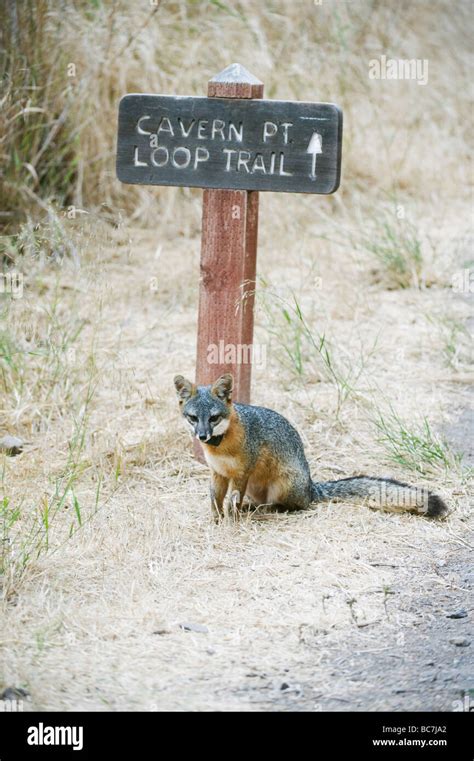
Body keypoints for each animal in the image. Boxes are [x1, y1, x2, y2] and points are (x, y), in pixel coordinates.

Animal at [173, 372, 448, 524]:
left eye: (214, 418)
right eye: (193, 418)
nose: (202, 436)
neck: (221, 449)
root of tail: (310, 486)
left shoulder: (241, 474)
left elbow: (232, 501)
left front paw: (231, 520)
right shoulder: (218, 473)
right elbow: (215, 500)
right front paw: (216, 520)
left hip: (282, 485)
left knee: (291, 506)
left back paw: (264, 509)